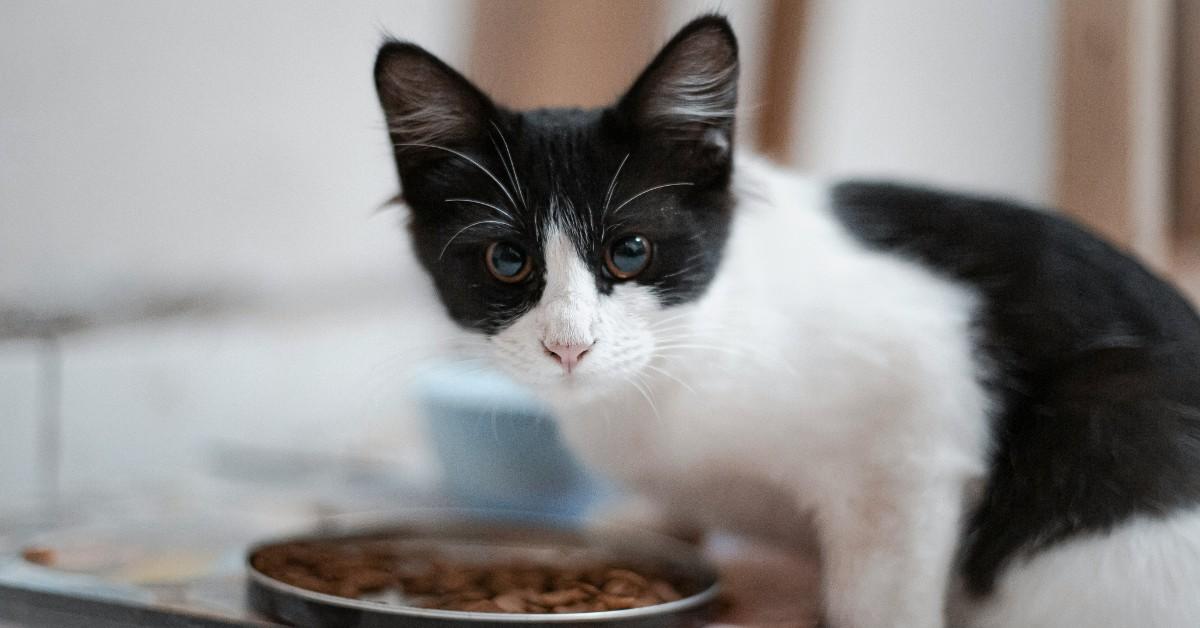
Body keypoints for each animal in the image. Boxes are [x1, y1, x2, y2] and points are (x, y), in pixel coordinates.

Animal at [372, 13, 1200, 628]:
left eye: (630, 250)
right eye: (507, 261)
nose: (568, 346)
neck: (683, 358)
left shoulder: (915, 435)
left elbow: (882, 589)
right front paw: (643, 520)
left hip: (1112, 407)